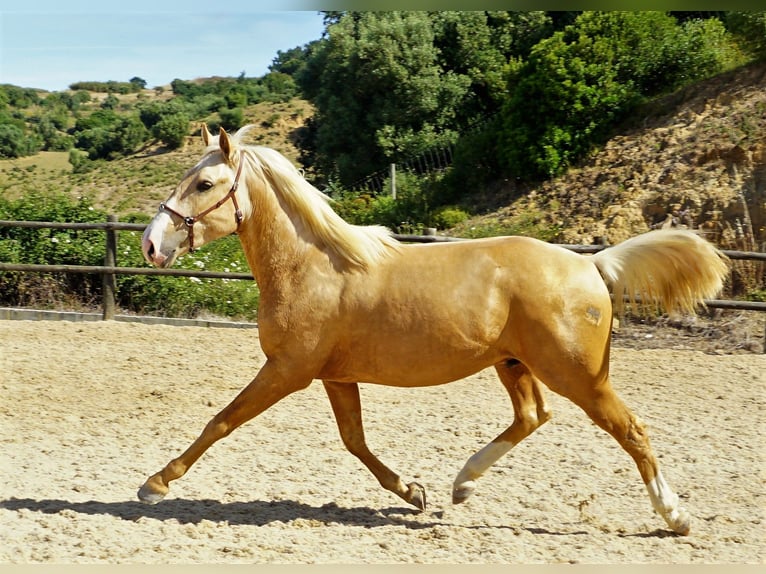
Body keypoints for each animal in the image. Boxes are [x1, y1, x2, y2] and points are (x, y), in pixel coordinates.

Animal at [140, 125, 732, 536]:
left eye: (205, 183)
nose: (151, 243)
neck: (314, 268)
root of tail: (590, 263)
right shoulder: (334, 376)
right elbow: (355, 441)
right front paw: (413, 492)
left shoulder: (288, 370)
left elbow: (222, 421)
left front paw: (155, 483)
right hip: (514, 363)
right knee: (532, 416)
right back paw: (461, 484)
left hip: (578, 374)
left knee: (630, 429)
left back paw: (675, 516)